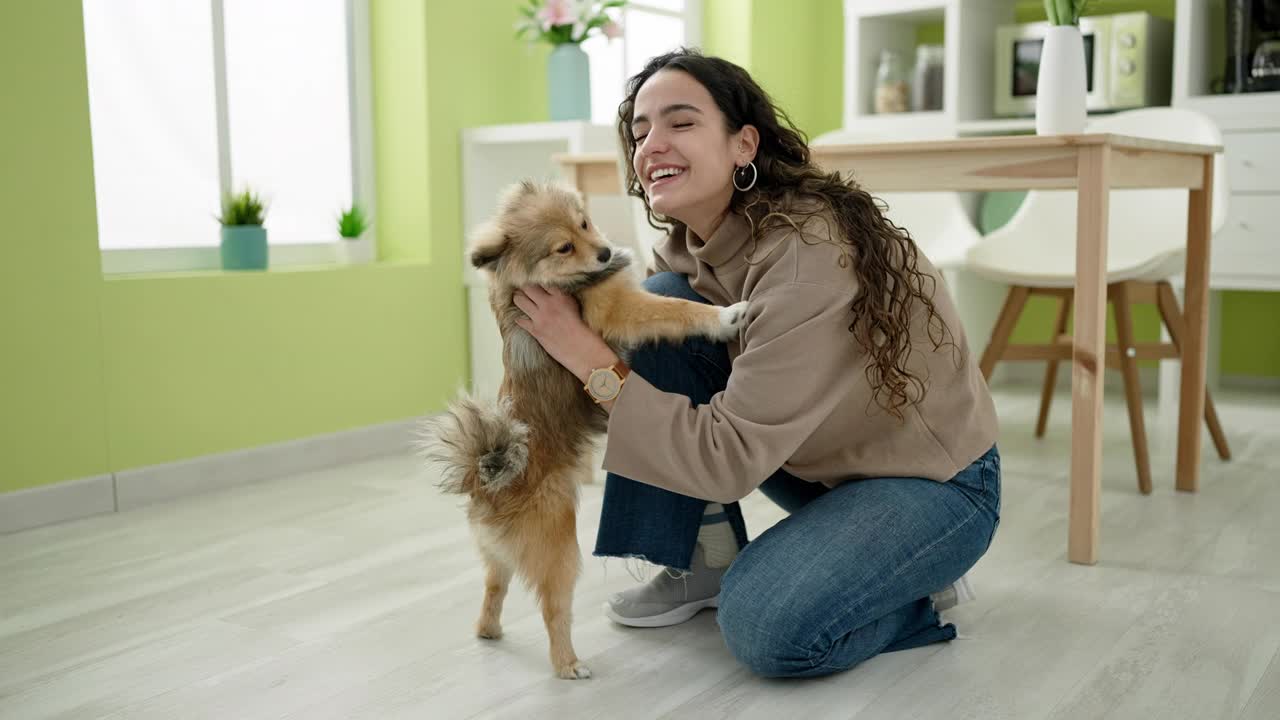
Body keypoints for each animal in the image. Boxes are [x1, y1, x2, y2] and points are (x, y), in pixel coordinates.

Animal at [419, 180, 747, 676]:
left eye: (585, 223)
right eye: (564, 247)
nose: (606, 251)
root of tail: (488, 478)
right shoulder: (620, 308)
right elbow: (676, 309)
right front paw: (725, 317)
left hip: (498, 555)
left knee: (494, 588)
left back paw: (488, 630)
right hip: (560, 550)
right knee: (554, 608)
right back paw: (569, 664)